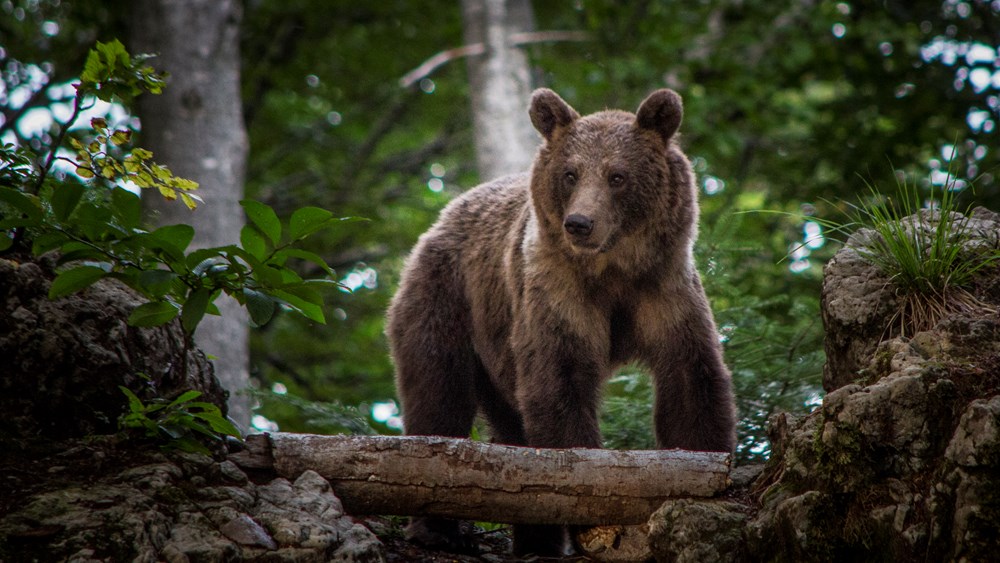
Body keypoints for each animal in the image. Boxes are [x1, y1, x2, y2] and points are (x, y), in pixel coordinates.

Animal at [386, 87, 740, 556]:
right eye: (571, 173)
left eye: (617, 175)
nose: (579, 223)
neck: (613, 270)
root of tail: (445, 215)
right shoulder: (559, 292)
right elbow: (559, 382)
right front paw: (588, 508)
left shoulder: (664, 291)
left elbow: (690, 380)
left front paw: (704, 474)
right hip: (446, 296)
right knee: (438, 394)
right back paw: (437, 529)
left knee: (510, 426)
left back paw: (535, 541)